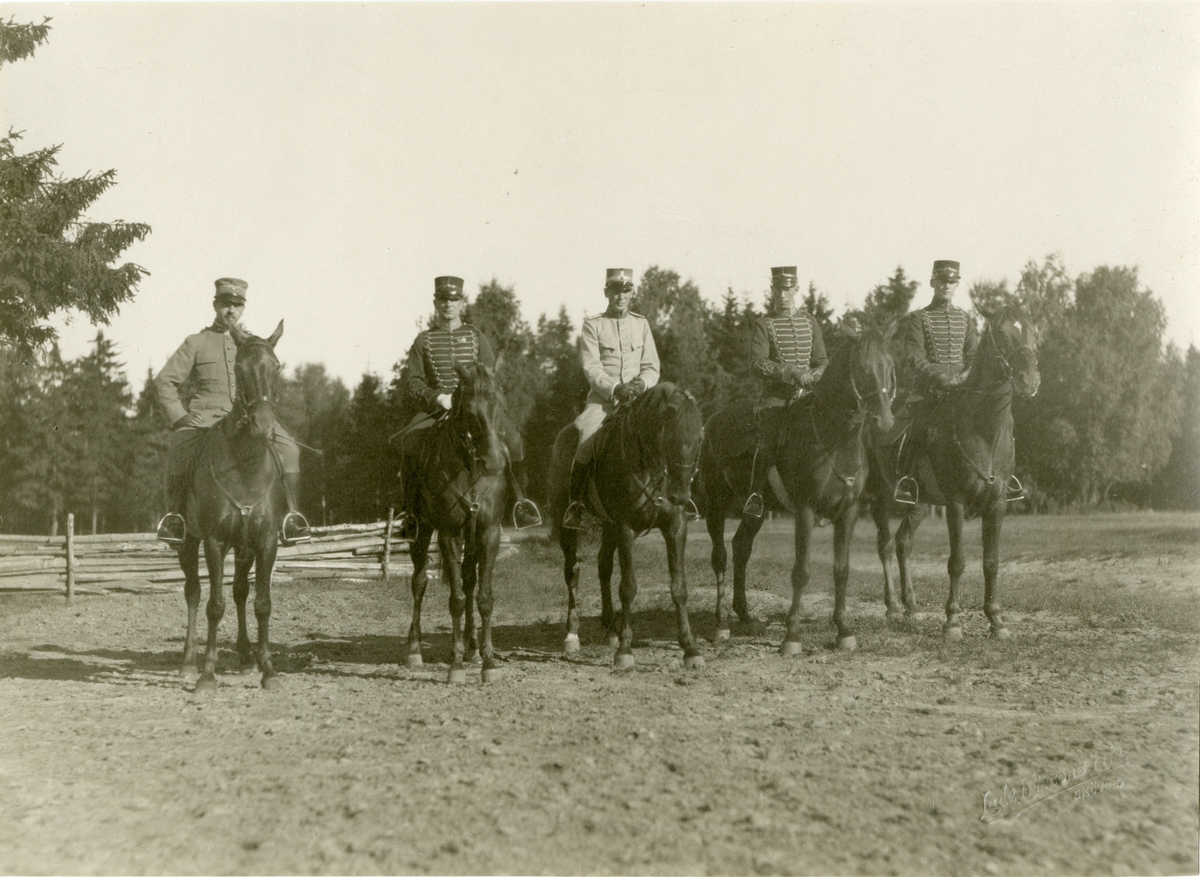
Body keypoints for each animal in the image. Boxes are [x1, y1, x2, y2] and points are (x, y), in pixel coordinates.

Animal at [177, 321, 290, 691]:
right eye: (240, 370)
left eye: (277, 367)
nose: (263, 425)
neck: (245, 467)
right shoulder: (214, 541)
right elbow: (214, 605)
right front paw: (207, 674)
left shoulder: (266, 541)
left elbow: (262, 604)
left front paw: (268, 669)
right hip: (187, 542)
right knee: (194, 593)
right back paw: (188, 661)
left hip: (243, 548)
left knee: (240, 591)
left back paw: (244, 656)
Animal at [403, 359, 506, 681]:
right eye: (471, 413)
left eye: (500, 406)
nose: (494, 462)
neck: (470, 467)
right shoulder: (449, 533)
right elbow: (457, 599)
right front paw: (456, 665)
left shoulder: (489, 533)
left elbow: (484, 597)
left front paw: (488, 661)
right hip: (422, 530)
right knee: (419, 582)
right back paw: (414, 650)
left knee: (469, 582)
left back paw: (472, 647)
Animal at [549, 383, 705, 671]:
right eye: (670, 439)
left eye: (698, 440)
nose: (680, 495)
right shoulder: (626, 528)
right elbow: (628, 588)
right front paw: (625, 650)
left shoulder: (675, 527)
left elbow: (679, 587)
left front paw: (690, 649)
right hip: (568, 526)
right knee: (572, 572)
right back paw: (572, 635)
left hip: (608, 527)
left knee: (603, 566)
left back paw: (610, 629)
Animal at [700, 328, 897, 652]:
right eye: (862, 368)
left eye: (890, 367)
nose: (885, 422)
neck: (832, 439)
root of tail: (712, 420)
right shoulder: (805, 511)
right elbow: (801, 571)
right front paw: (791, 635)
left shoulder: (849, 513)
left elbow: (841, 570)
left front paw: (843, 630)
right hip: (715, 505)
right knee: (720, 557)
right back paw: (721, 624)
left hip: (756, 509)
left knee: (741, 547)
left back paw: (745, 615)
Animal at [864, 304, 1041, 643]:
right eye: (1002, 335)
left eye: (1032, 332)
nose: (1029, 380)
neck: (985, 430)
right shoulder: (956, 504)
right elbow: (957, 562)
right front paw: (953, 622)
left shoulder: (998, 505)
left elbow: (991, 562)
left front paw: (996, 620)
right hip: (879, 495)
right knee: (885, 545)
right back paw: (892, 607)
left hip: (918, 503)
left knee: (904, 542)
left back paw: (911, 607)